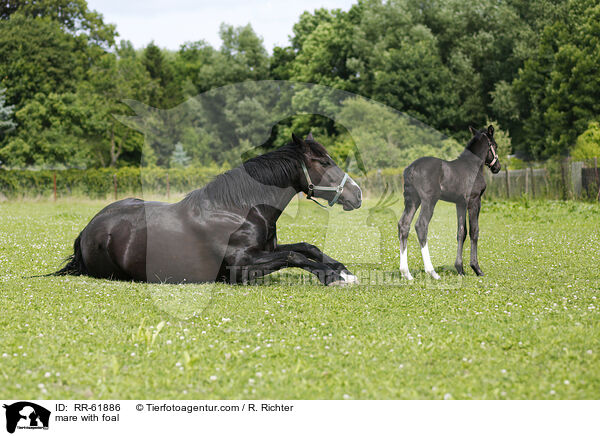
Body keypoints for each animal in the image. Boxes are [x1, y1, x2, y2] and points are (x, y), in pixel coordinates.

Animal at [398, 125, 502, 280]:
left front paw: (460, 269)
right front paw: (476, 268)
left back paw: (406, 273)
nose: (497, 167)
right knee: (421, 226)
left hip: (412, 200)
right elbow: (474, 231)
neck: (473, 167)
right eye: (494, 145)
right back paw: (432, 272)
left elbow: (461, 232)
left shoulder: (460, 204)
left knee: (404, 225)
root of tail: (411, 169)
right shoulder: (474, 201)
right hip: (429, 201)